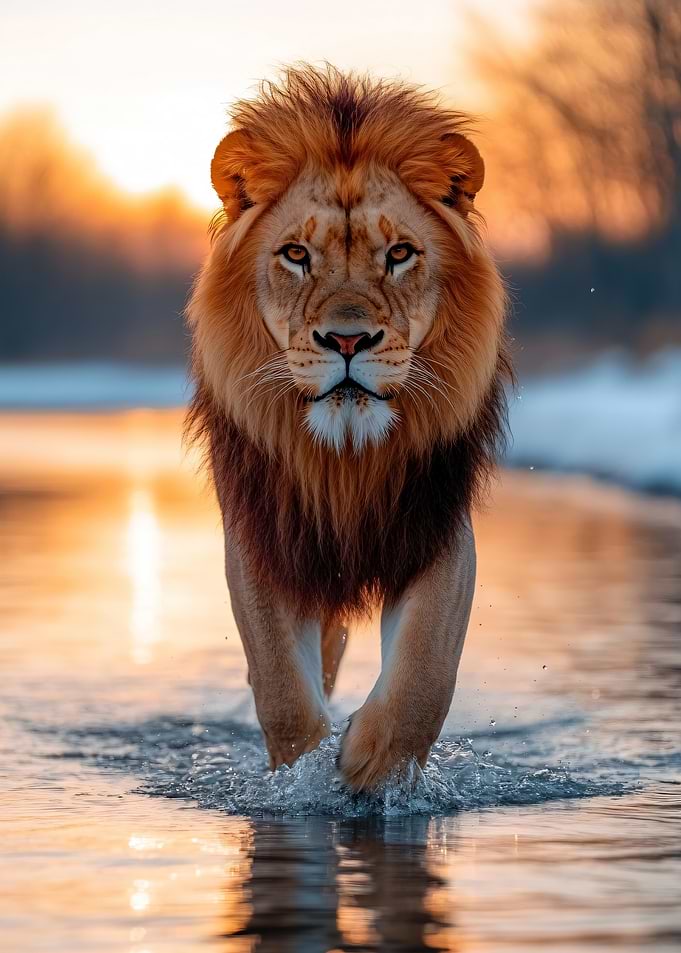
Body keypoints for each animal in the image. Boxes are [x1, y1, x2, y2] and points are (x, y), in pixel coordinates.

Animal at [186, 65, 510, 791]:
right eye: (295, 254)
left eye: (399, 254)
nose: (346, 340)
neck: (346, 459)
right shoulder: (263, 538)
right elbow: (281, 686)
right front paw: (304, 775)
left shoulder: (435, 526)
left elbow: (424, 671)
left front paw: (373, 767)